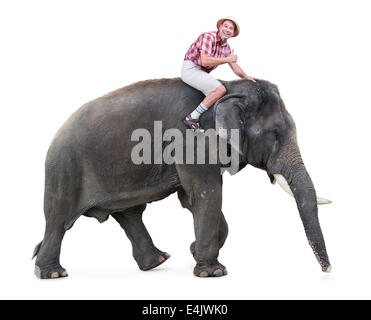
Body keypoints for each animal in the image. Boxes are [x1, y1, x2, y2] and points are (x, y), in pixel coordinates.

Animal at [32, 77, 332, 278]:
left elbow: (191, 199)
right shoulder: (192, 142)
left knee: (129, 214)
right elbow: (207, 193)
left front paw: (194, 251)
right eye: (275, 134)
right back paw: (53, 274)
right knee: (58, 219)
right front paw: (213, 272)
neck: (229, 88)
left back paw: (157, 262)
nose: (328, 270)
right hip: (64, 169)